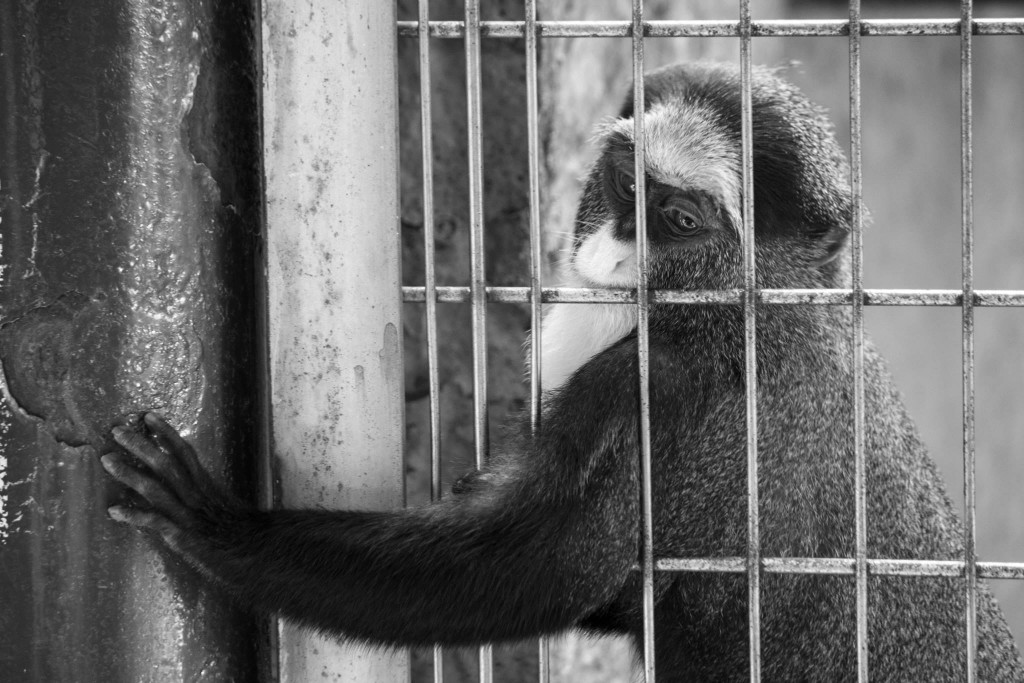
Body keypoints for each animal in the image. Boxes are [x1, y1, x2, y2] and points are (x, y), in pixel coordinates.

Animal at [103, 61, 1024, 679]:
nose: (608, 251)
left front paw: (213, 524)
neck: (734, 309)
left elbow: (533, 568)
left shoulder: (651, 395)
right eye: (625, 184)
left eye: (678, 219)